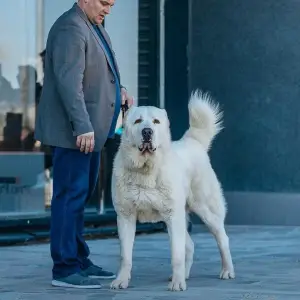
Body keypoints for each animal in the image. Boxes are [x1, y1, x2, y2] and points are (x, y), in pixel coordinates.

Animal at [109, 89, 234, 290]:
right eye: (138, 121)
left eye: (156, 122)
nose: (147, 132)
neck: (146, 169)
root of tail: (192, 142)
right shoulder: (125, 217)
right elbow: (125, 256)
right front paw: (121, 280)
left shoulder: (172, 215)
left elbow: (176, 255)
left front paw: (177, 283)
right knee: (189, 245)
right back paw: (185, 275)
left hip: (206, 210)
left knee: (222, 239)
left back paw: (227, 270)